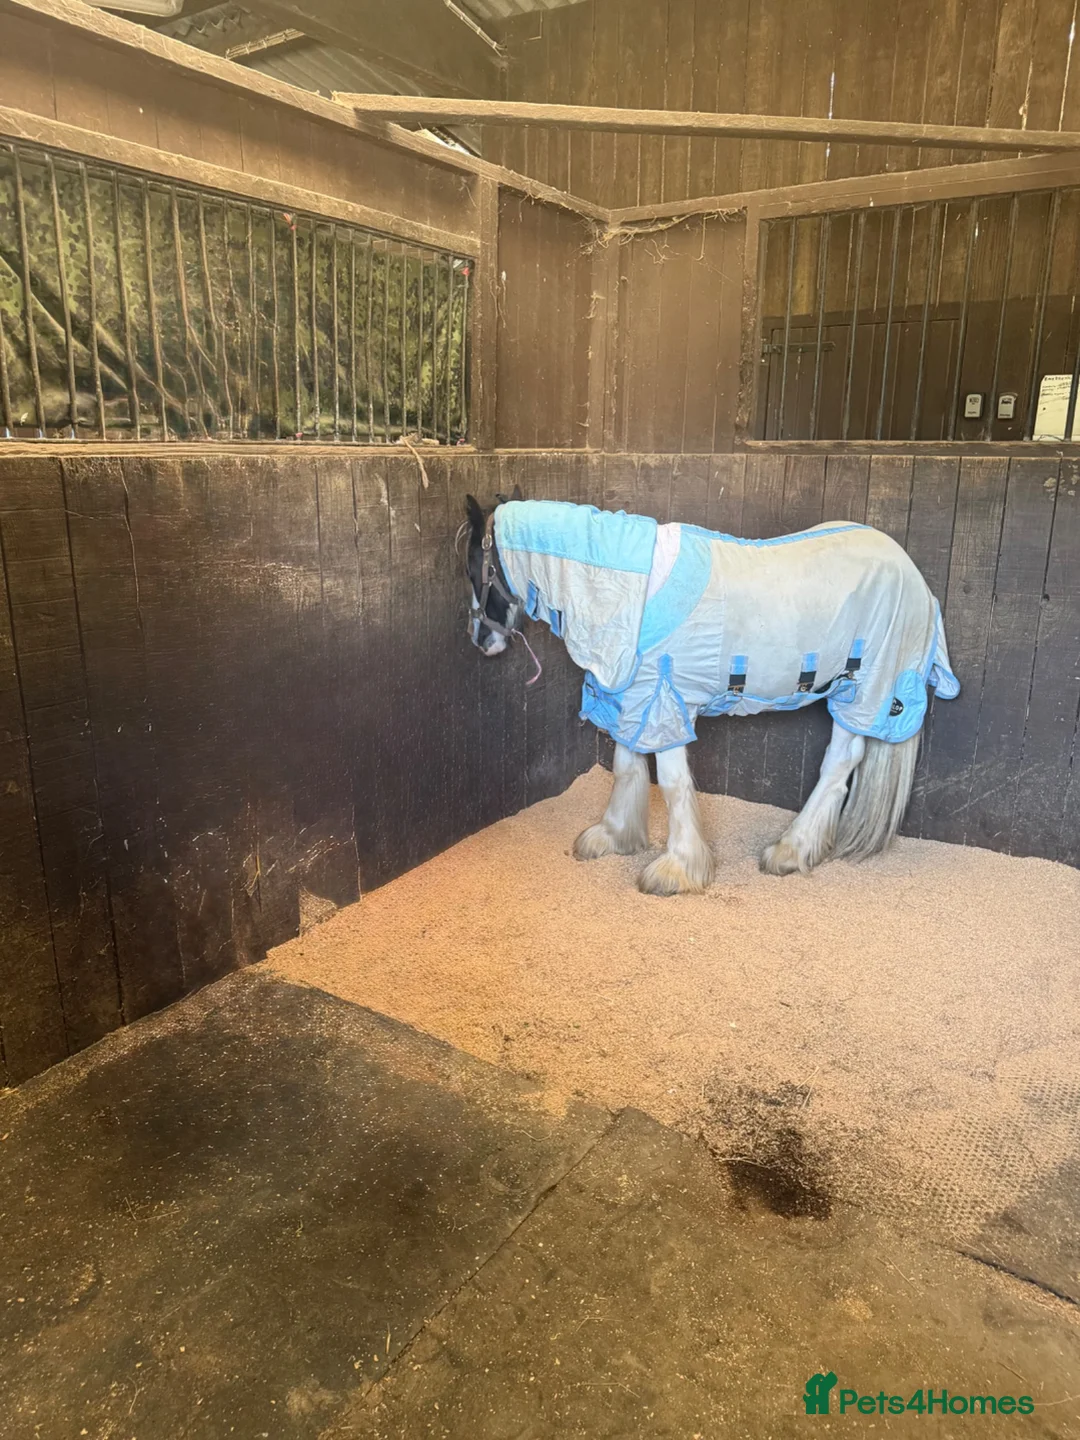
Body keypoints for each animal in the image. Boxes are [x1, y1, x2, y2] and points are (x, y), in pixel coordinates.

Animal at [461, 489, 959, 896]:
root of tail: (916, 580)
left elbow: (673, 783)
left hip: (867, 690)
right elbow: (625, 768)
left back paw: (789, 849)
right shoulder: (634, 698)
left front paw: (676, 870)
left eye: (472, 570)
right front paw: (613, 837)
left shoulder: (666, 698)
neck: (632, 592)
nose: (480, 641)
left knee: (838, 764)